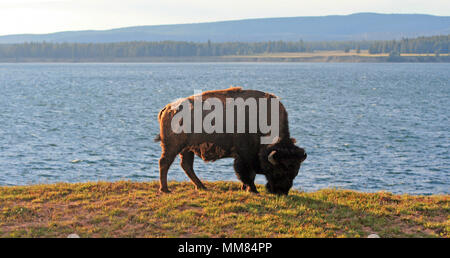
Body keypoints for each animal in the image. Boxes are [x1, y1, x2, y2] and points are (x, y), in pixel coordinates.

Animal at [154, 86, 306, 194]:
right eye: (278, 170)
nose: (281, 192)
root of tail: (168, 108)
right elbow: (248, 173)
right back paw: (165, 189)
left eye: (295, 172)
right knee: (165, 162)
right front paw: (253, 190)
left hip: (187, 149)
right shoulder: (245, 155)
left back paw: (201, 186)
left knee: (186, 165)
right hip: (173, 146)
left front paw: (245, 188)